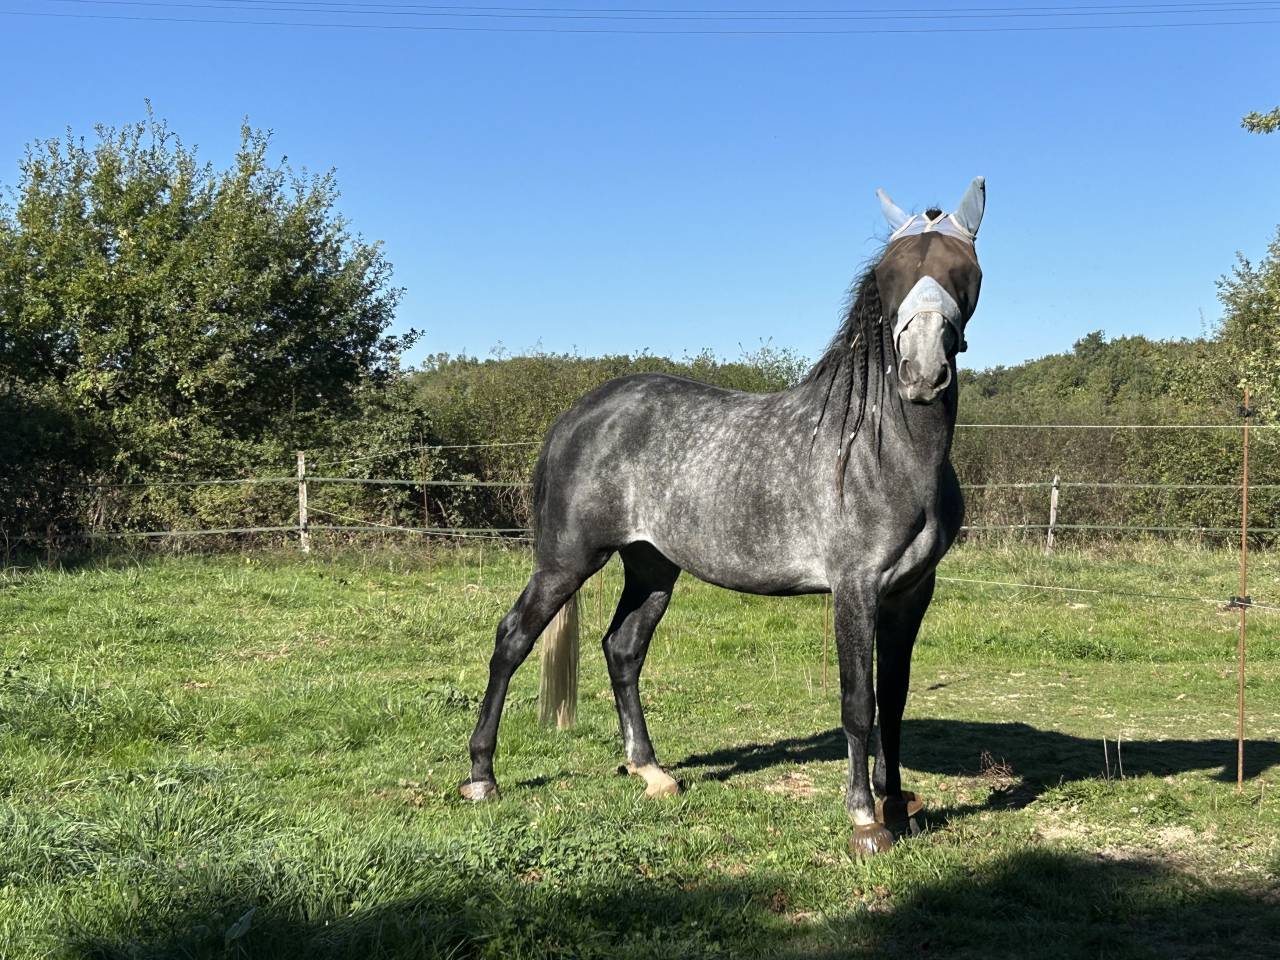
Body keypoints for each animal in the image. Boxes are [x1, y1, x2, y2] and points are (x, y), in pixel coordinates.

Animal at [461, 178, 986, 857]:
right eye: (889, 274)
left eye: (964, 270)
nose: (922, 374)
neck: (879, 448)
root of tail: (579, 414)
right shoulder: (855, 590)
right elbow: (858, 703)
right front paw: (865, 821)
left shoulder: (912, 592)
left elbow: (892, 701)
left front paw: (897, 803)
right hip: (566, 561)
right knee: (511, 640)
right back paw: (482, 776)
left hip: (652, 566)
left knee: (622, 649)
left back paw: (651, 771)